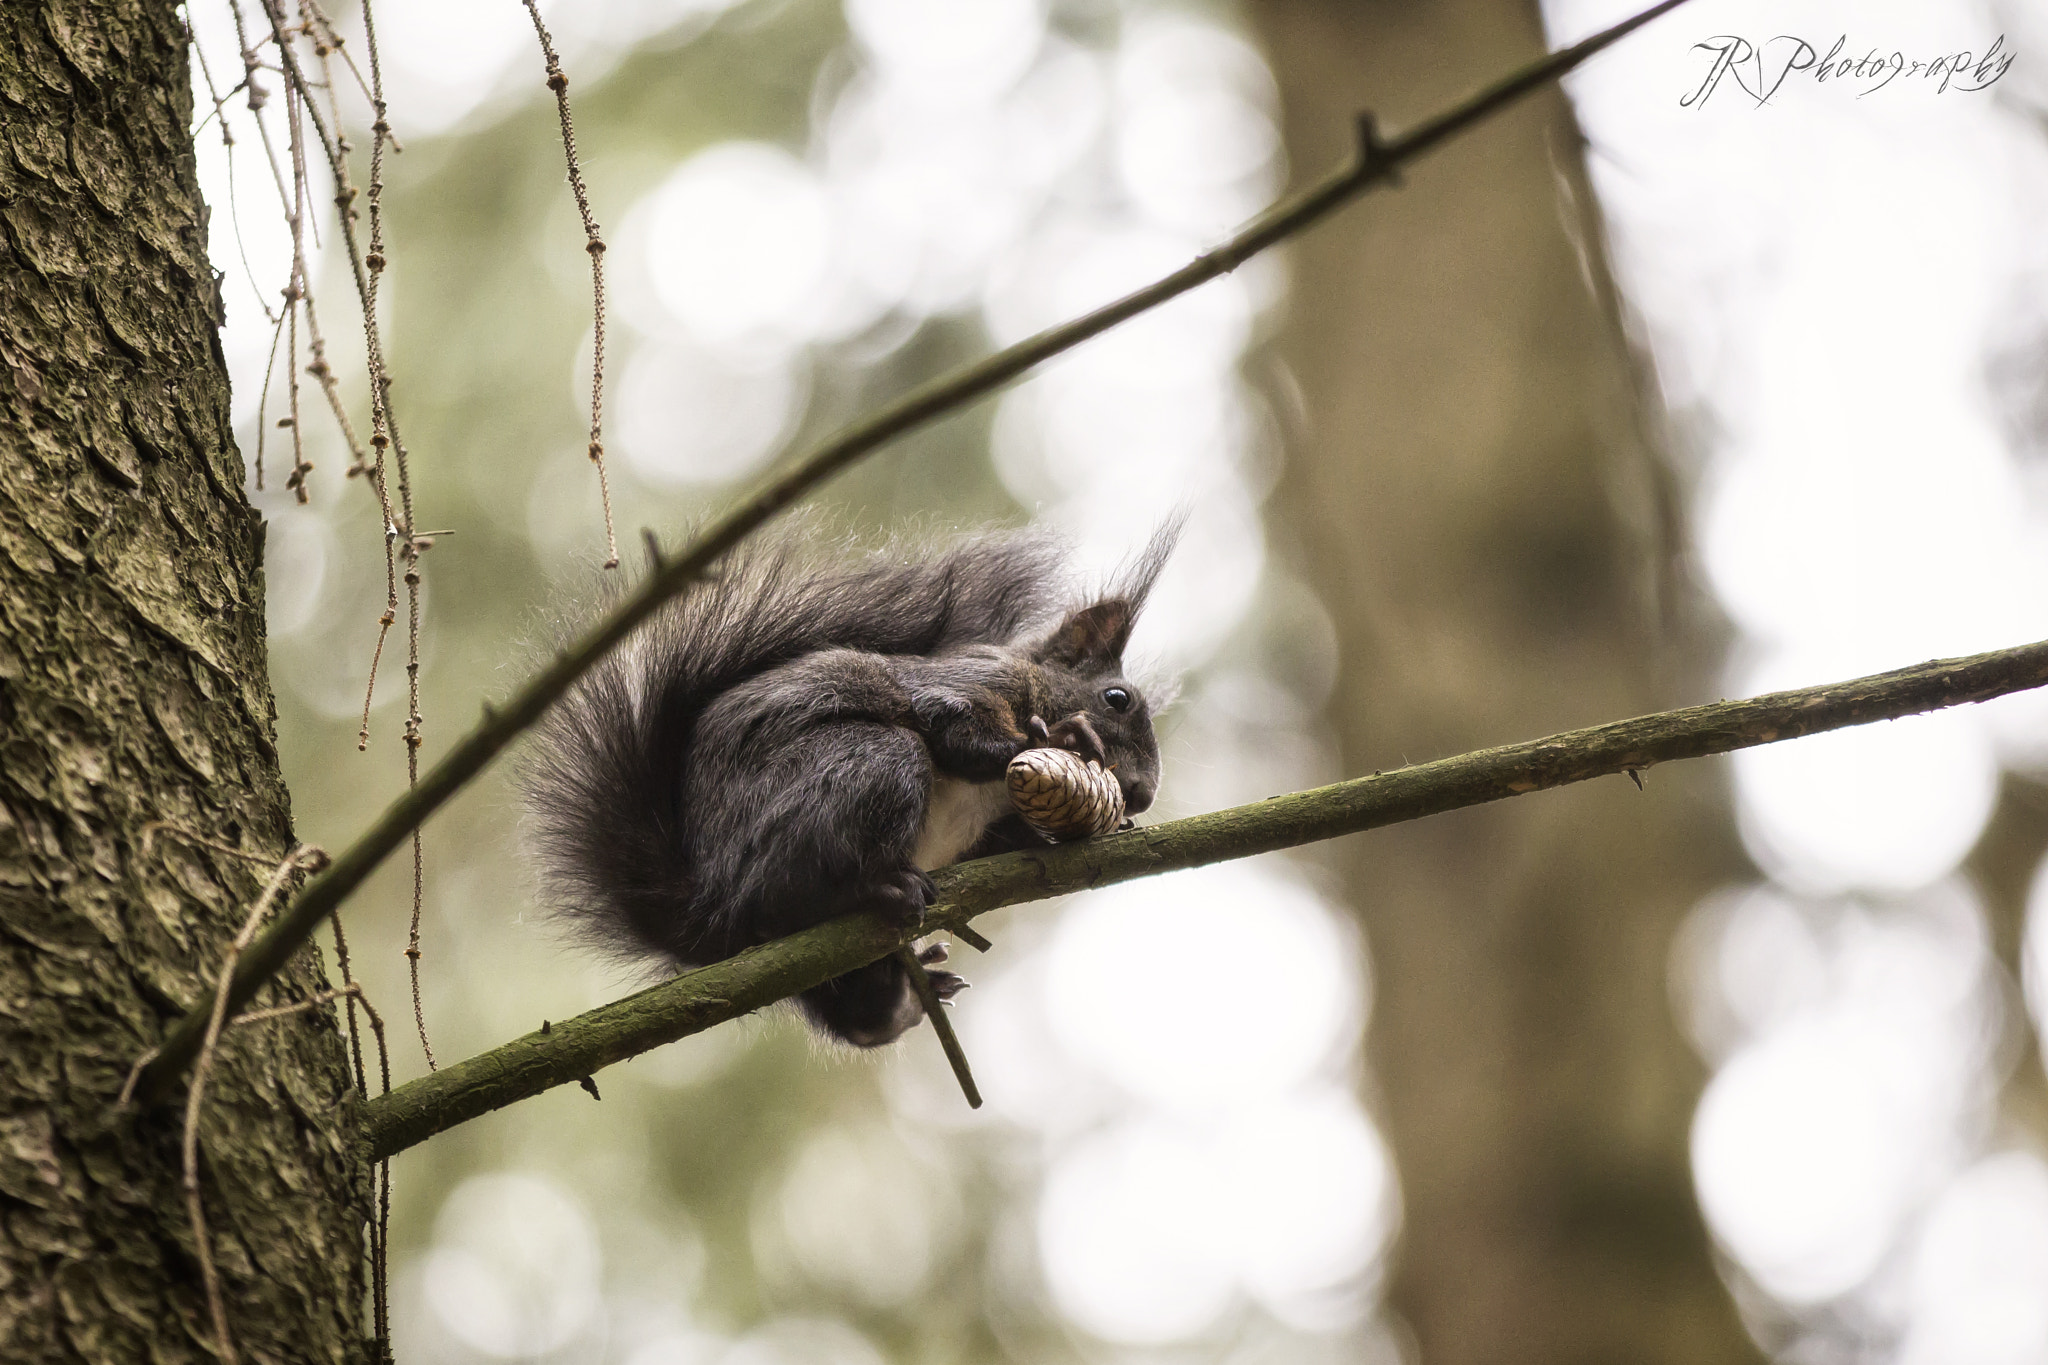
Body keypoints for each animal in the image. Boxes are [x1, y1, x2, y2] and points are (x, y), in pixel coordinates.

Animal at [521, 521, 1175, 1048]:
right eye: (1117, 699)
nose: (1143, 794)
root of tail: (704, 907)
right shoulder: (966, 684)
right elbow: (954, 724)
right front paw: (1059, 739)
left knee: (854, 1012)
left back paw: (899, 1001)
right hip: (864, 769)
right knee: (777, 897)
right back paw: (874, 891)